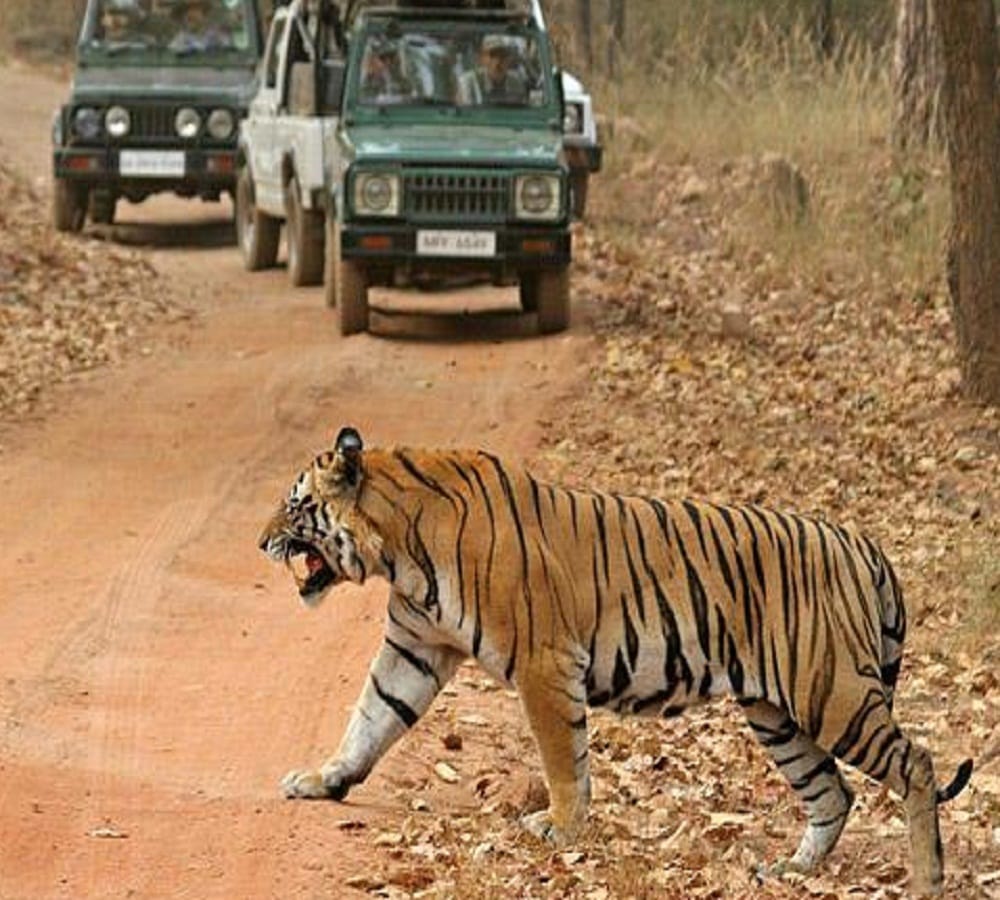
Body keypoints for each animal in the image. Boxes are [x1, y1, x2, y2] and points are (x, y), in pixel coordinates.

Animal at [258, 426, 973, 895]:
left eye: (295, 505)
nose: (261, 541)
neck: (399, 549)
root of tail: (862, 541)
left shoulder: (544, 662)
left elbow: (562, 759)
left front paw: (559, 827)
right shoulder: (415, 647)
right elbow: (369, 718)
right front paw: (322, 780)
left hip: (832, 693)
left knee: (915, 763)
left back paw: (927, 879)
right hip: (778, 713)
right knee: (832, 793)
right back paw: (792, 870)